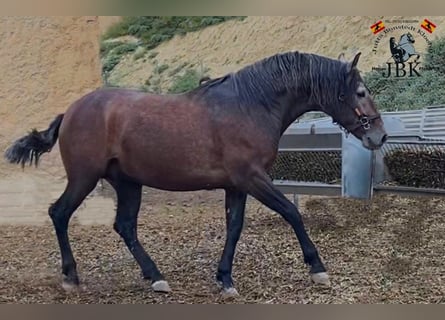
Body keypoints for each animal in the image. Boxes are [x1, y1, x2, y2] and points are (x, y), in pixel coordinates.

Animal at [2, 50, 386, 298]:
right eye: (360, 92)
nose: (379, 136)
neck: (250, 105)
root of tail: (70, 112)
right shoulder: (253, 178)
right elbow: (291, 212)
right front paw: (317, 268)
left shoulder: (237, 186)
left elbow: (234, 227)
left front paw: (225, 279)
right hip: (84, 178)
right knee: (59, 213)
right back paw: (71, 276)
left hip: (127, 183)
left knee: (124, 226)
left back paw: (155, 277)